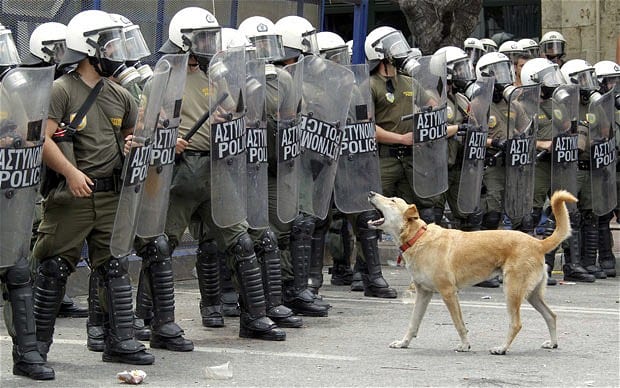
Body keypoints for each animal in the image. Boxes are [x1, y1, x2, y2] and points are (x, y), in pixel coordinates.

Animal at [368, 189, 576, 354]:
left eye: (392, 200)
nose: (370, 193)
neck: (418, 237)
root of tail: (537, 243)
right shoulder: (423, 293)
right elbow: (413, 323)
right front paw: (404, 343)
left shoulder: (448, 292)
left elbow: (459, 323)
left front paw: (465, 345)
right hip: (532, 294)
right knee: (551, 315)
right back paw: (553, 343)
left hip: (512, 291)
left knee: (516, 323)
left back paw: (502, 348)